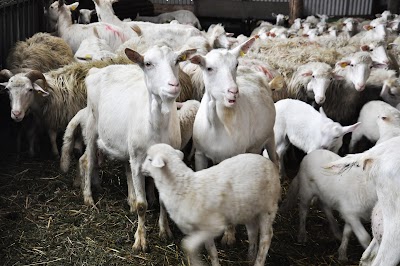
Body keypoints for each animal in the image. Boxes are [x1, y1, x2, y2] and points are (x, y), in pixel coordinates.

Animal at [81, 45, 195, 251]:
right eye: (148, 63)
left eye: (177, 61)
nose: (173, 85)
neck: (157, 126)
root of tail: (95, 70)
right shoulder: (138, 161)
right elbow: (143, 205)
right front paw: (140, 240)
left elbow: (163, 200)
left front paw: (164, 231)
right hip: (92, 124)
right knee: (88, 161)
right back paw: (89, 198)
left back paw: (131, 200)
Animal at [141, 143, 282, 266]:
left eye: (149, 159)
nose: (141, 169)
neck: (183, 186)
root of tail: (269, 162)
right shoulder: (201, 230)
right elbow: (211, 251)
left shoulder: (214, 226)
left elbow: (188, 246)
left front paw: (198, 262)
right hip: (249, 210)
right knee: (252, 231)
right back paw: (250, 258)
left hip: (268, 208)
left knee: (266, 237)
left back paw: (258, 261)